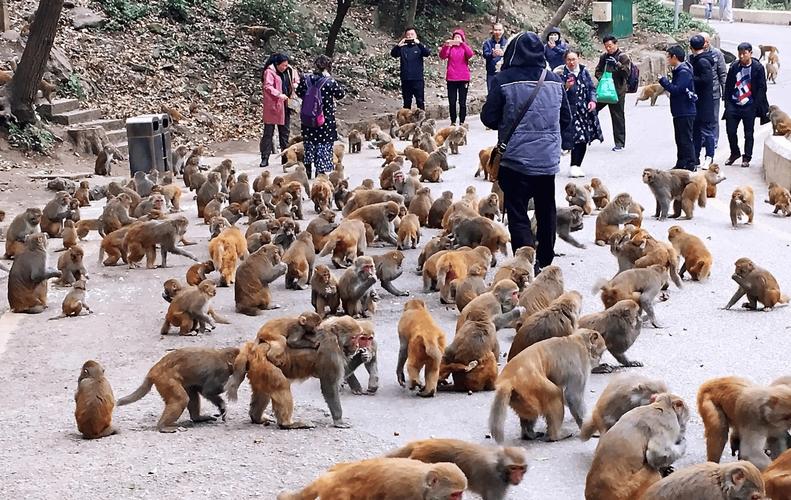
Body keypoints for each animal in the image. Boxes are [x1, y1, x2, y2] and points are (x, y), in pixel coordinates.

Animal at [388, 438, 528, 500]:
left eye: (521, 468)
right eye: (513, 468)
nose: (518, 477)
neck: (498, 465)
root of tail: (421, 443)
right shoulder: (496, 484)